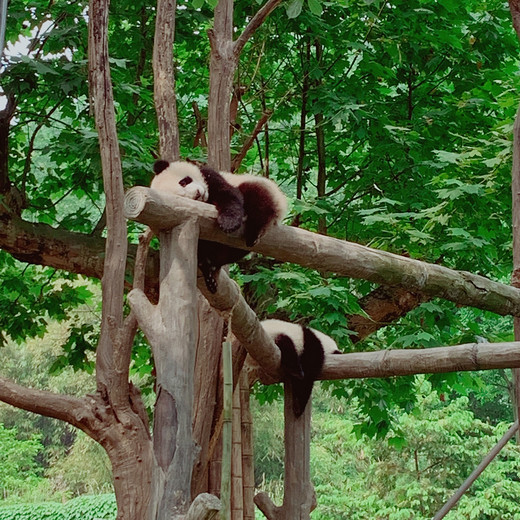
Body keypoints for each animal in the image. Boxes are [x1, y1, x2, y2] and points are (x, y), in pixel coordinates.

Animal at [150, 159, 288, 292]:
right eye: (182, 199)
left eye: (183, 182)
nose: (198, 194)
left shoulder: (211, 176)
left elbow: (228, 194)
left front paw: (229, 222)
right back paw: (209, 270)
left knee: (257, 195)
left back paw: (253, 232)